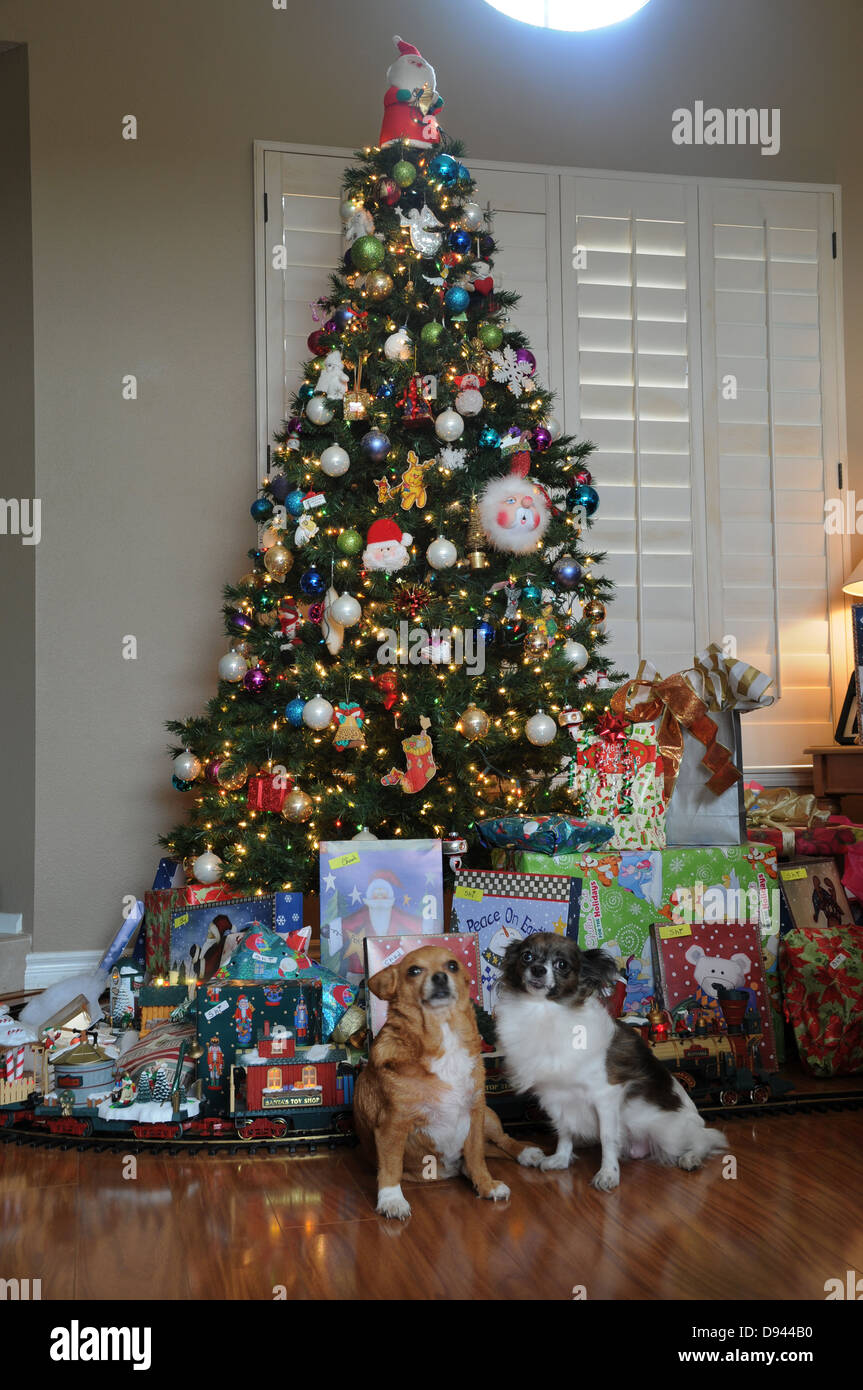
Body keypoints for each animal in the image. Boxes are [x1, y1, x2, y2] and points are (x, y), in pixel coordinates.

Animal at [351, 945, 541, 1217]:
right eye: (414, 971)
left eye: (452, 966)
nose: (440, 977)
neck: (443, 1034)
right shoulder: (392, 1125)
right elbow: (391, 1167)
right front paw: (391, 1200)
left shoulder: (475, 1114)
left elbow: (477, 1157)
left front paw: (486, 1185)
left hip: (489, 1117)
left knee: (501, 1142)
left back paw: (526, 1152)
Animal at [491, 928, 728, 1189]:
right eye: (527, 957)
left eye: (562, 964)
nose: (537, 970)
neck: (544, 1011)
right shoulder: (556, 1098)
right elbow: (564, 1131)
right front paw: (561, 1159)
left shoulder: (605, 1096)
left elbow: (607, 1137)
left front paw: (608, 1173)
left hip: (670, 1133)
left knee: (705, 1139)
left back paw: (691, 1157)